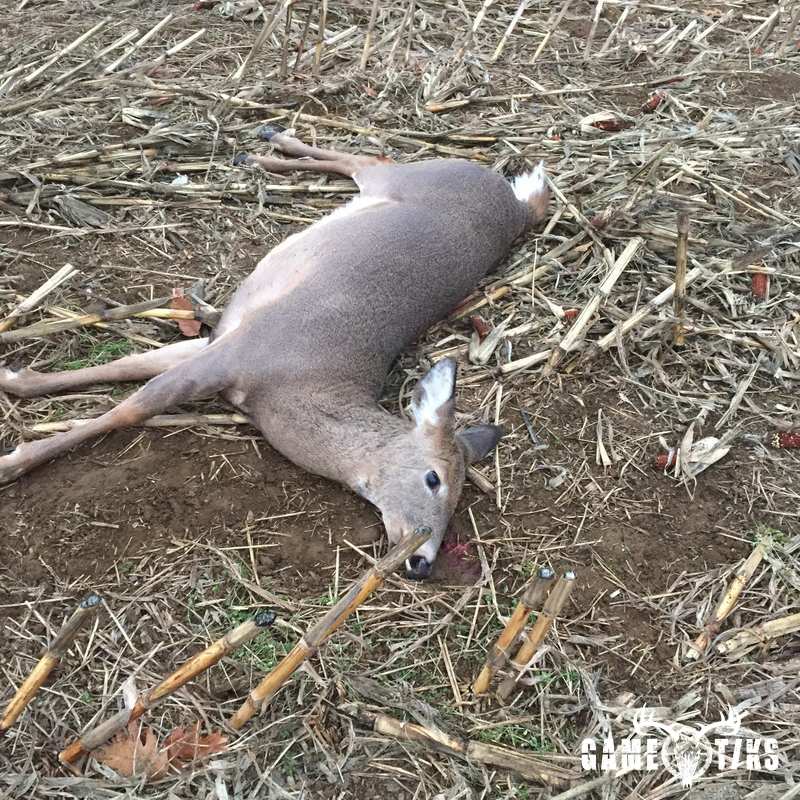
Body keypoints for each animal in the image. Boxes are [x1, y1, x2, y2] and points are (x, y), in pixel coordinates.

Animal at [0, 129, 550, 579]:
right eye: (433, 478)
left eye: (459, 499)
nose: (422, 562)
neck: (292, 386)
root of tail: (515, 204)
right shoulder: (233, 350)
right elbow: (132, 401)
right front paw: (14, 459)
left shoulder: (216, 343)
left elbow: (126, 372)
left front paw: (16, 380)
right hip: (409, 175)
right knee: (371, 156)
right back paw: (267, 145)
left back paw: (265, 151)